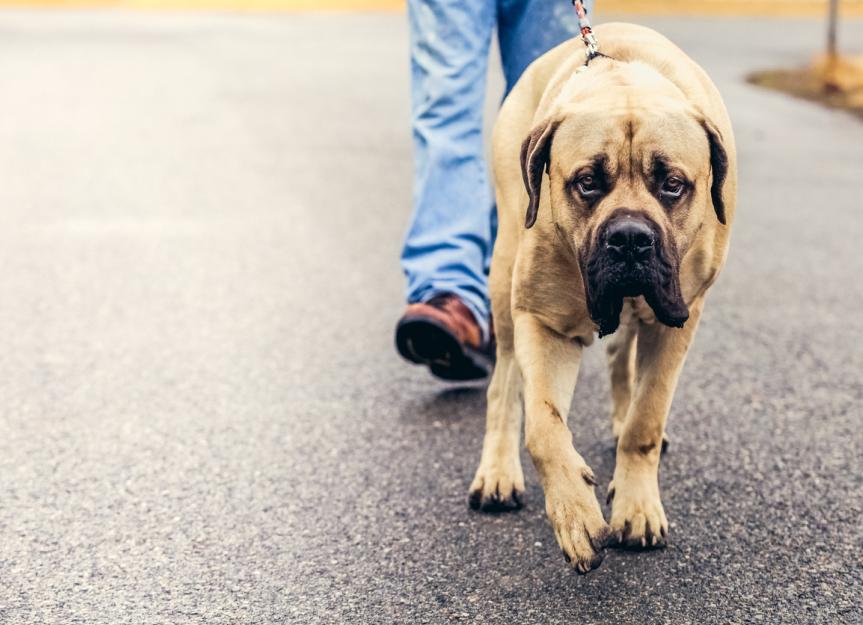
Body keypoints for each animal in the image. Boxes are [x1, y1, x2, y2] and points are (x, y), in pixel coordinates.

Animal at [470, 23, 740, 572]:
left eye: (673, 184)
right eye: (587, 183)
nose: (630, 238)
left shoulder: (677, 321)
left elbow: (645, 418)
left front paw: (636, 507)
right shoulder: (543, 321)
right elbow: (544, 426)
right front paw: (574, 511)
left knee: (621, 358)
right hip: (505, 275)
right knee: (504, 382)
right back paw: (498, 472)